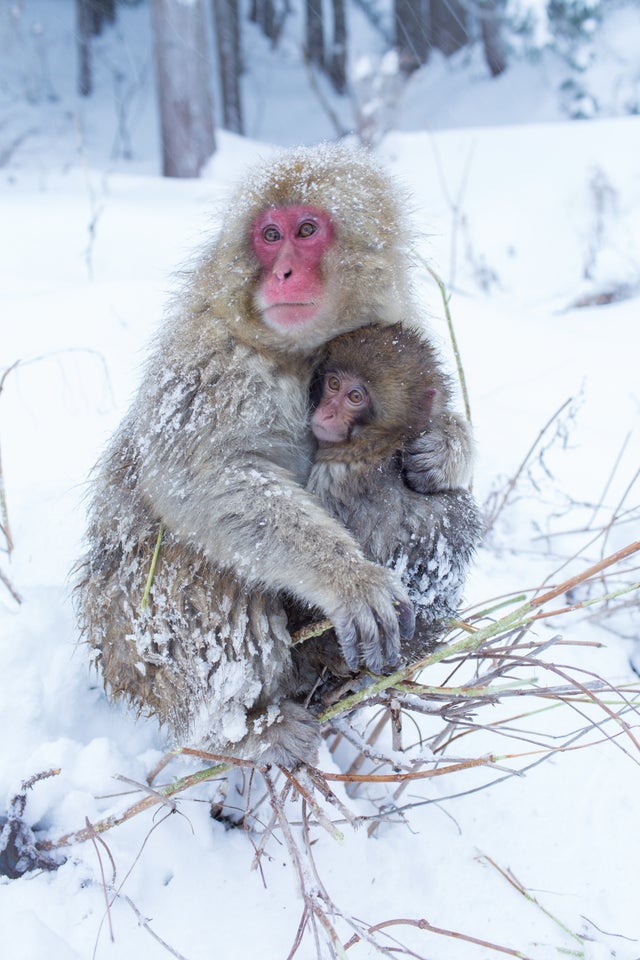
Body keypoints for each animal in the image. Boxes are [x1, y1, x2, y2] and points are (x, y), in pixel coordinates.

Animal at [75, 144, 476, 769]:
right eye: (269, 236)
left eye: (306, 231)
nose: (283, 271)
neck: (298, 353)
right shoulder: (212, 359)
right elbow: (202, 477)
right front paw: (349, 579)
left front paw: (448, 445)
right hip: (134, 646)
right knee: (201, 566)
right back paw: (244, 727)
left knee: (441, 507)